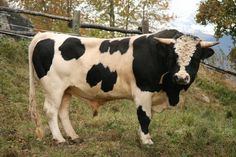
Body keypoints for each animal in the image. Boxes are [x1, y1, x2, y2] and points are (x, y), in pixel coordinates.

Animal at [28, 29, 218, 145]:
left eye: (196, 58)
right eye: (173, 56)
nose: (181, 77)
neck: (169, 92)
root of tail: (45, 35)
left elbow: (147, 117)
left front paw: (141, 136)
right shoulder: (143, 90)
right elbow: (144, 116)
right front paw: (146, 141)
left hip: (67, 89)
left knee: (63, 111)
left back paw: (73, 136)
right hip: (54, 87)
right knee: (51, 110)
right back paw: (59, 139)